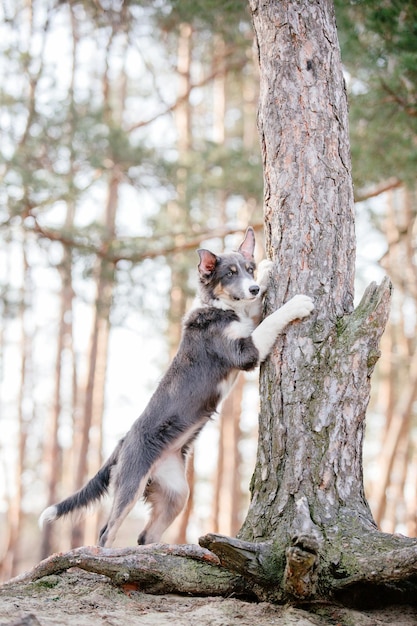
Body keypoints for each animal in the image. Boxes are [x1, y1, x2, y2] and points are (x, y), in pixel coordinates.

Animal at [39, 228, 312, 544]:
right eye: (229, 273)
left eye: (249, 269)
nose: (254, 287)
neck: (218, 307)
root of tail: (122, 443)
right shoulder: (245, 351)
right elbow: (270, 320)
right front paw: (297, 303)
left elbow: (257, 310)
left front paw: (267, 271)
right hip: (131, 484)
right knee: (107, 531)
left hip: (176, 492)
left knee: (145, 535)